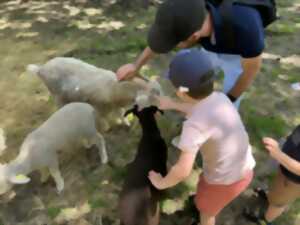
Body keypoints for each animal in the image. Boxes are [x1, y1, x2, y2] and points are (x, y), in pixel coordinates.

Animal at [26, 57, 162, 131]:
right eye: (155, 94)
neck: (114, 88)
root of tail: (41, 69)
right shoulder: (99, 106)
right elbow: (102, 118)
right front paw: (106, 128)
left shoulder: (116, 106)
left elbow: (120, 114)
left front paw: (126, 124)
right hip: (57, 95)